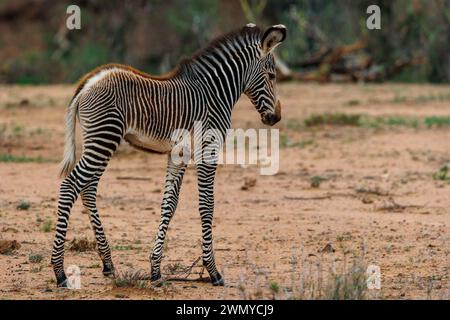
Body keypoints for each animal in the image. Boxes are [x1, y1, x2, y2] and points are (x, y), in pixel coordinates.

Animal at [51, 23, 286, 288]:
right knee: (70, 186)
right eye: (272, 76)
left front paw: (155, 270)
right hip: (104, 138)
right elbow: (207, 205)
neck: (214, 93)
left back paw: (108, 264)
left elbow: (169, 205)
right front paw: (213, 271)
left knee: (88, 189)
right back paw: (60, 272)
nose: (275, 118)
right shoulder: (207, 148)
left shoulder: (178, 154)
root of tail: (87, 83)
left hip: (100, 141)